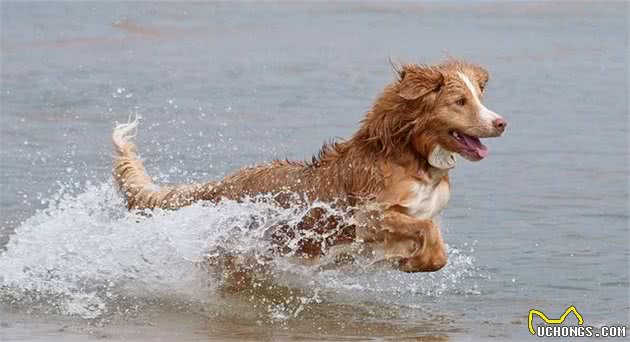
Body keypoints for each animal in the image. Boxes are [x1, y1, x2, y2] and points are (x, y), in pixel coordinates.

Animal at [112, 58, 508, 272]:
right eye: (459, 101)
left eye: (479, 96)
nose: (501, 122)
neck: (409, 156)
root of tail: (224, 183)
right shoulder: (368, 216)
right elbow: (426, 229)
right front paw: (415, 262)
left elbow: (430, 233)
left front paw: (414, 261)